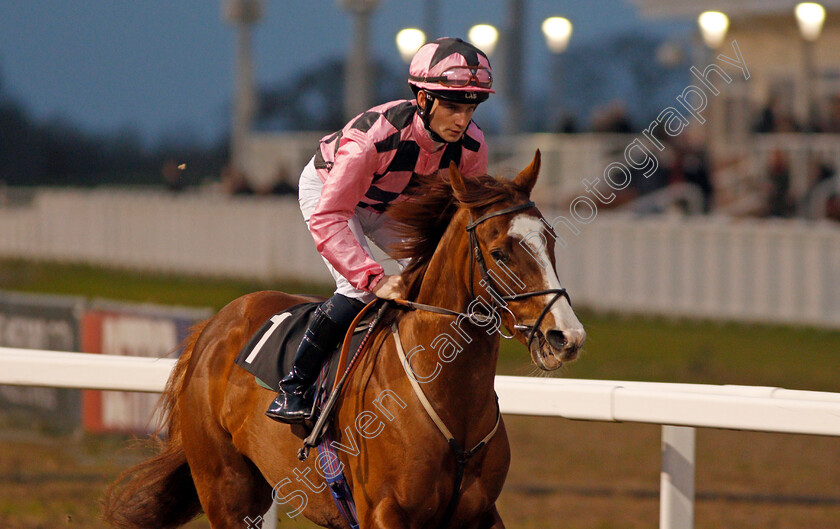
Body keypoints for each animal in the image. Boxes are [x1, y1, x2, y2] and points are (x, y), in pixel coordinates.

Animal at [105, 150, 584, 528]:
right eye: (500, 252)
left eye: (550, 240)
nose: (566, 336)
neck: (450, 400)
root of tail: (216, 324)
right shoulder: (385, 512)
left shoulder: (480, 513)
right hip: (227, 490)